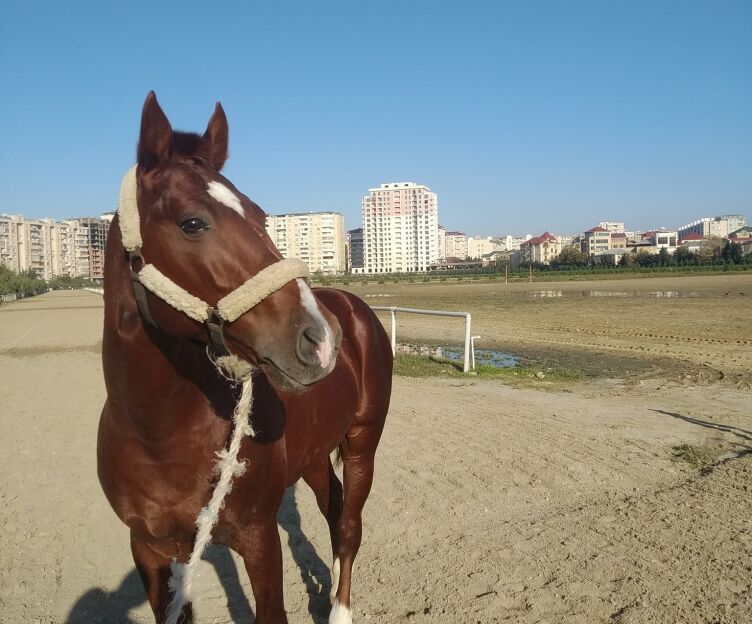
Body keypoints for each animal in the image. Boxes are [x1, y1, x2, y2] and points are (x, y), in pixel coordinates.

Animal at [97, 91, 393, 624]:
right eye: (192, 222)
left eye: (260, 215)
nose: (320, 339)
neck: (157, 434)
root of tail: (352, 306)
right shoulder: (150, 551)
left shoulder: (259, 537)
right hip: (315, 456)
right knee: (335, 509)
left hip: (363, 443)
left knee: (350, 525)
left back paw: (339, 609)